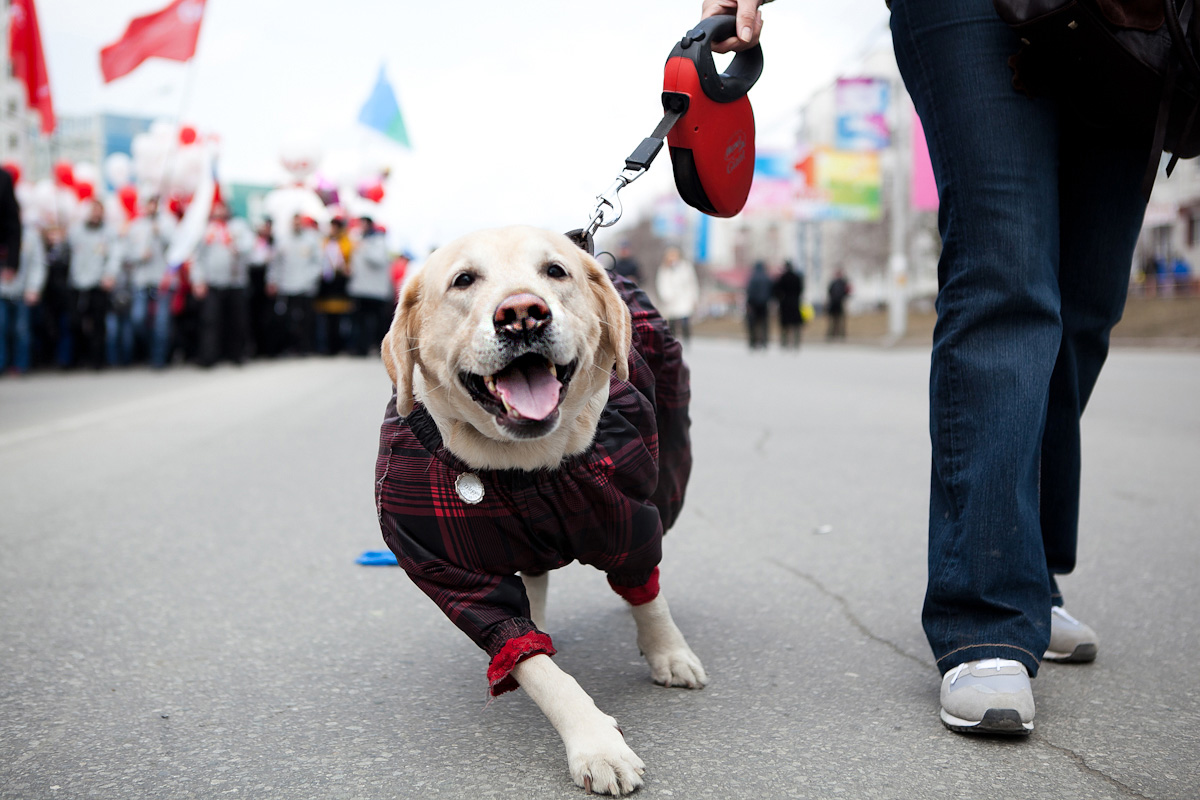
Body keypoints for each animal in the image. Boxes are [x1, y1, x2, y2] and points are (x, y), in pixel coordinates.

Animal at [376, 225, 700, 796]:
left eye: (555, 271)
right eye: (463, 280)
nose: (522, 313)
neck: (526, 465)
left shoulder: (629, 519)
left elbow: (648, 594)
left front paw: (668, 651)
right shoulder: (449, 570)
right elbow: (529, 658)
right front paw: (596, 744)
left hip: (671, 475)